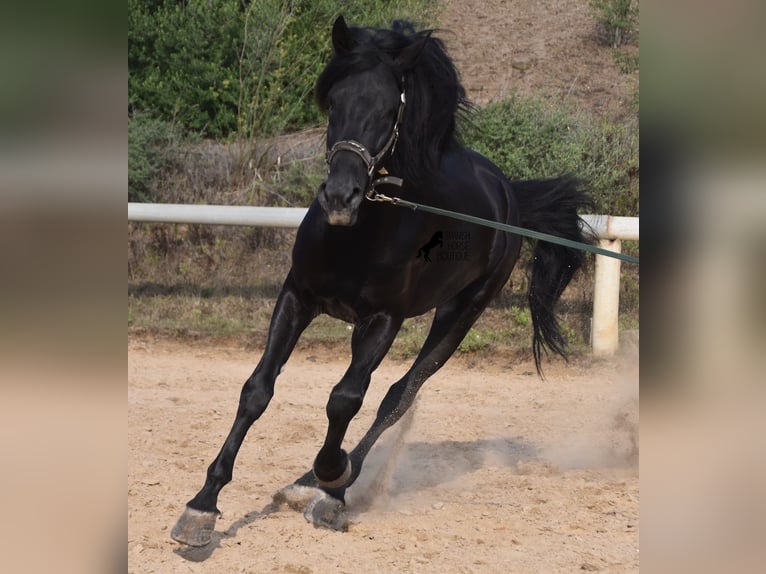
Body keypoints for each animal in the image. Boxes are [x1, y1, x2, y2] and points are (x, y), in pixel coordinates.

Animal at [174, 14, 592, 544]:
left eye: (390, 110)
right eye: (334, 102)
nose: (340, 196)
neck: (360, 234)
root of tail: (507, 192)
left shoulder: (384, 320)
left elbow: (345, 399)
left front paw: (332, 480)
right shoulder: (297, 298)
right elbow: (257, 390)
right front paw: (202, 505)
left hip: (460, 315)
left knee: (397, 397)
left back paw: (330, 486)